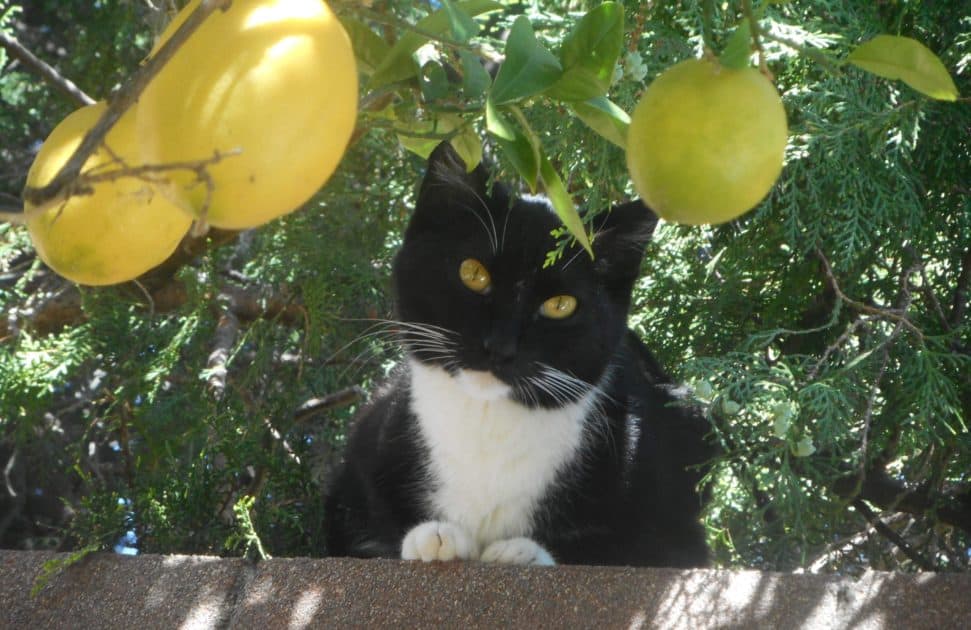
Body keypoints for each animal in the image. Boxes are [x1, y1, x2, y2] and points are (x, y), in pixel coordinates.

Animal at [326, 146, 712, 572]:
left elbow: (617, 549)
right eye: (473, 273)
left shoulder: (677, 528)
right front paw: (434, 537)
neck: (488, 423)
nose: (499, 346)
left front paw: (520, 551)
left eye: (560, 305)